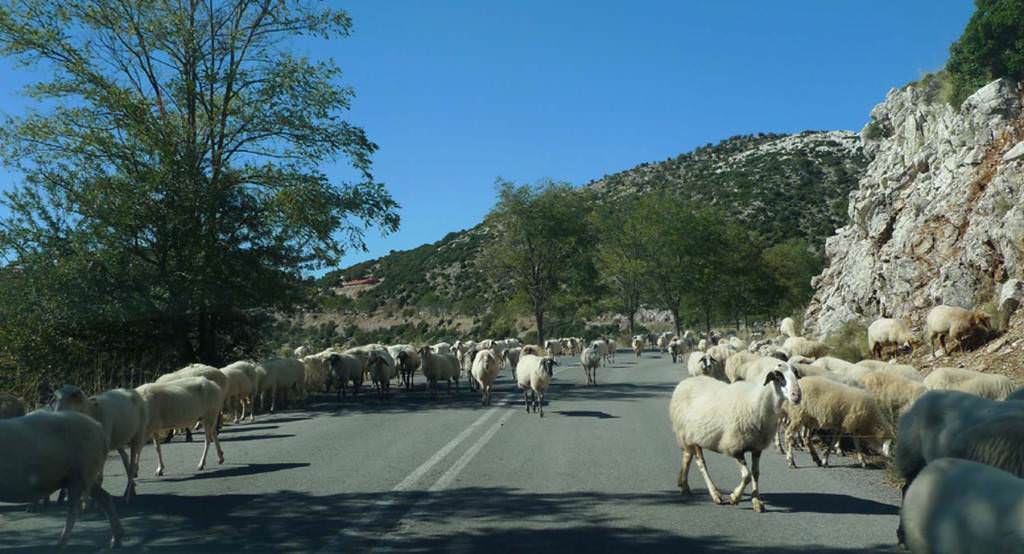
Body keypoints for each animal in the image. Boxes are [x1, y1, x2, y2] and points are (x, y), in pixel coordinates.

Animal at [0, 409, 124, 544]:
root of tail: (99, 428)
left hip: (79, 475)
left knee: (74, 511)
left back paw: (60, 543)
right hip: (85, 476)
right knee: (105, 498)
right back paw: (116, 539)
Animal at [667, 360, 802, 512]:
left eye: (796, 373)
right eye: (778, 376)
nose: (797, 396)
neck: (757, 403)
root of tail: (685, 382)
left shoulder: (757, 447)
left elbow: (755, 473)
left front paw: (757, 502)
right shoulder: (735, 447)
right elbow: (747, 475)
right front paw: (734, 497)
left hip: (689, 436)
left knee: (687, 456)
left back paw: (684, 485)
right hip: (691, 436)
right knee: (701, 464)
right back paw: (715, 495)